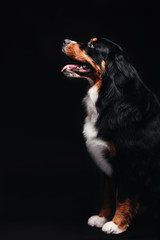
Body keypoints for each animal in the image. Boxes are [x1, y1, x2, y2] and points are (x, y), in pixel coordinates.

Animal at [61, 37, 160, 234]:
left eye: (92, 45)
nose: (65, 40)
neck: (110, 97)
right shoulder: (109, 162)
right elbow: (108, 194)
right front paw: (102, 217)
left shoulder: (128, 162)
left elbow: (123, 197)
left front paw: (116, 224)